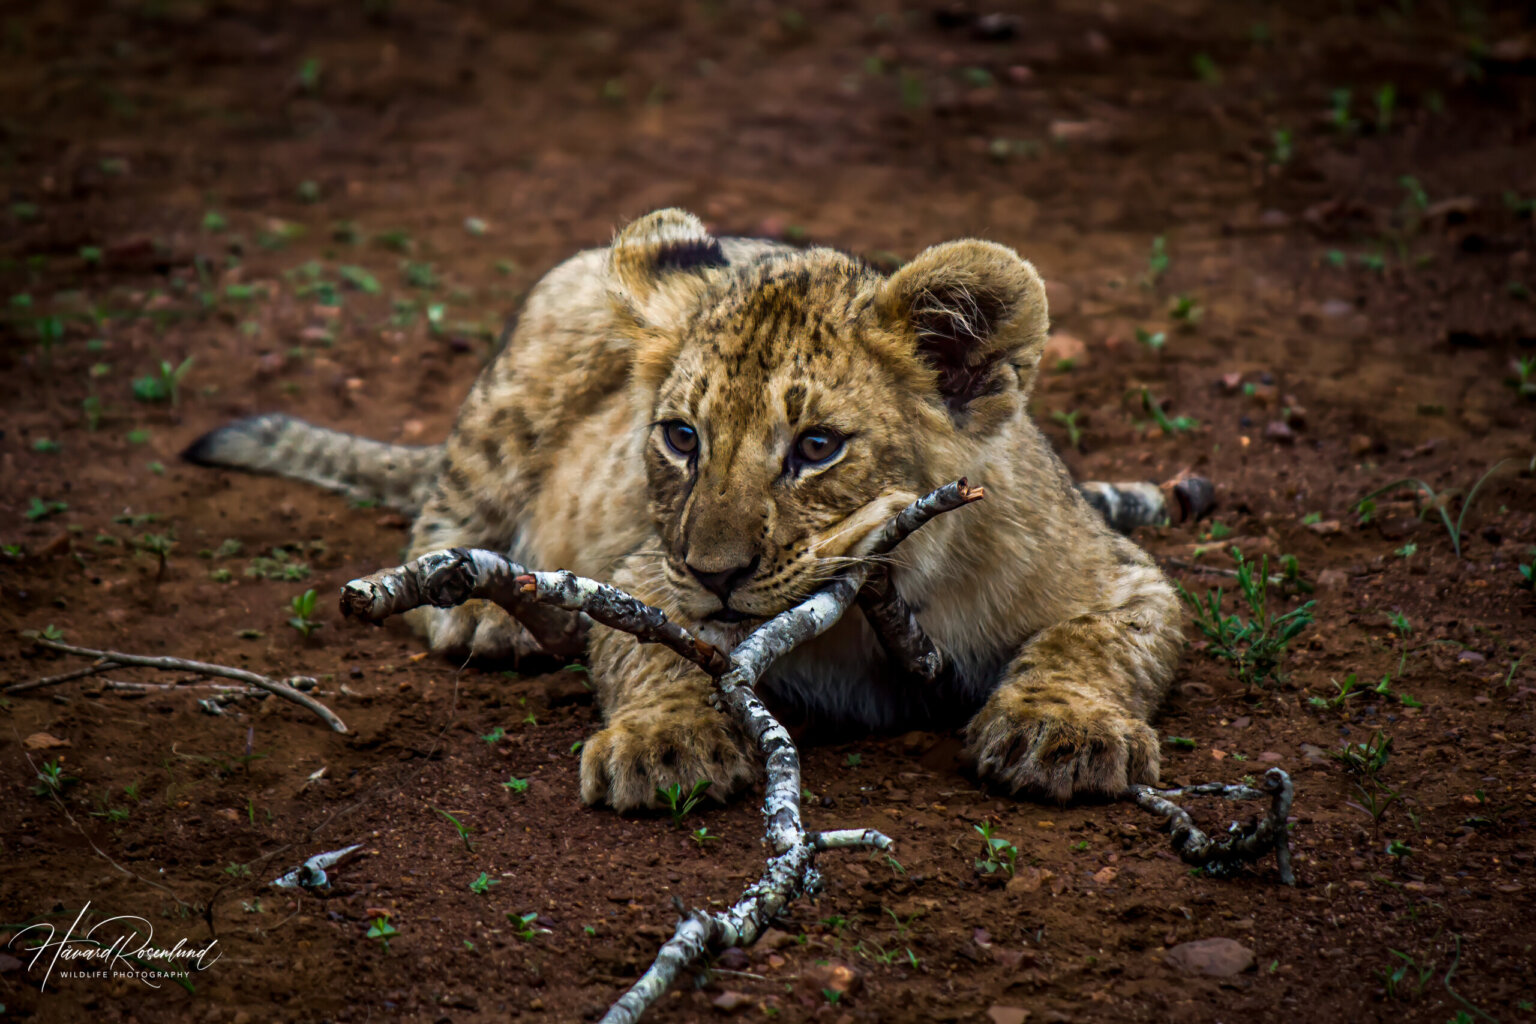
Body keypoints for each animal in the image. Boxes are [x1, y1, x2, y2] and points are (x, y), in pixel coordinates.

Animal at [185, 209, 1184, 810]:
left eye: (816, 447)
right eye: (680, 437)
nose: (716, 573)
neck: (874, 618)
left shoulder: (1122, 575)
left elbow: (1091, 641)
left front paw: (1061, 730)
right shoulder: (641, 569)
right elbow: (651, 650)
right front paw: (666, 746)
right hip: (525, 381)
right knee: (441, 528)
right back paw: (489, 615)